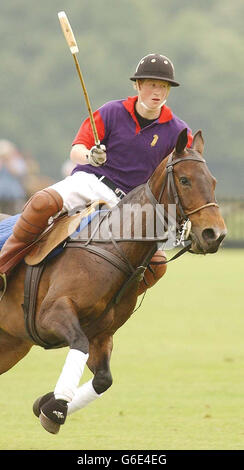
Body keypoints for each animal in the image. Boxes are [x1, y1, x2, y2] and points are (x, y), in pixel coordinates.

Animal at [0, 129, 226, 434]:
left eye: (212, 181)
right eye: (185, 180)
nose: (215, 234)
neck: (112, 246)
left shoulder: (102, 334)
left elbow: (103, 379)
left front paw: (46, 402)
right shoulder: (51, 313)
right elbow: (79, 345)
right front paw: (56, 408)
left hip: (11, 345)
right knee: (44, 200)